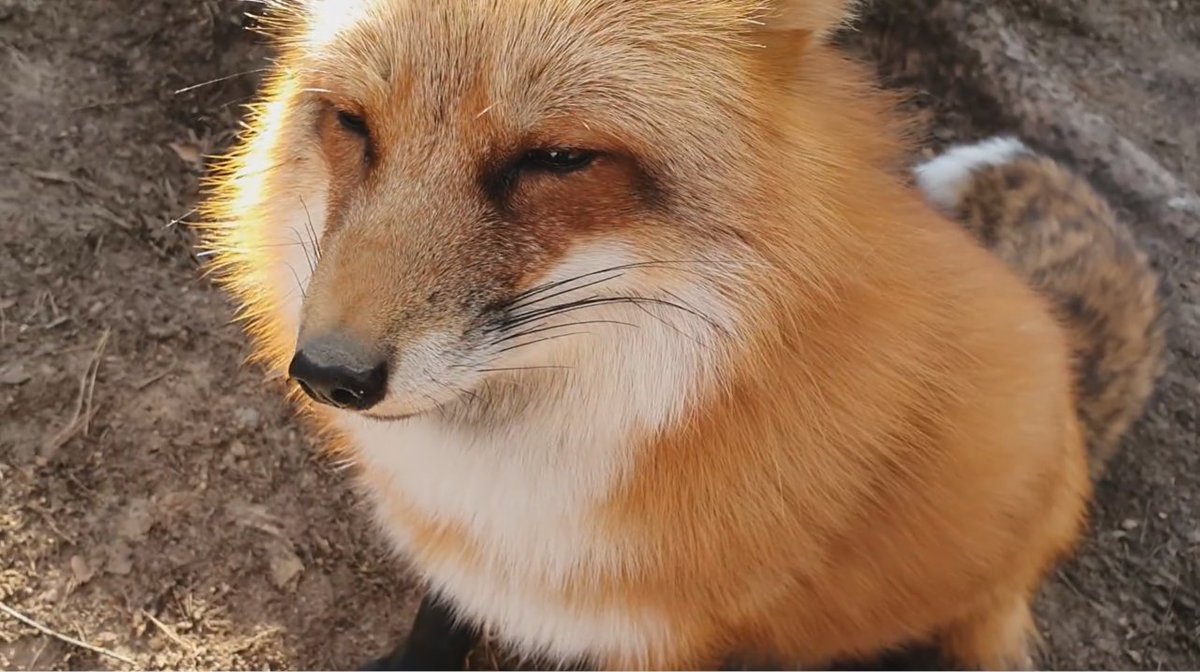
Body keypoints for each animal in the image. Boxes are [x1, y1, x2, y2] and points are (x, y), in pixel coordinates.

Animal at [197, 0, 1166, 669]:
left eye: (557, 160)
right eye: (353, 124)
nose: (330, 373)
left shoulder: (671, 636)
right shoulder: (463, 561)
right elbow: (437, 629)